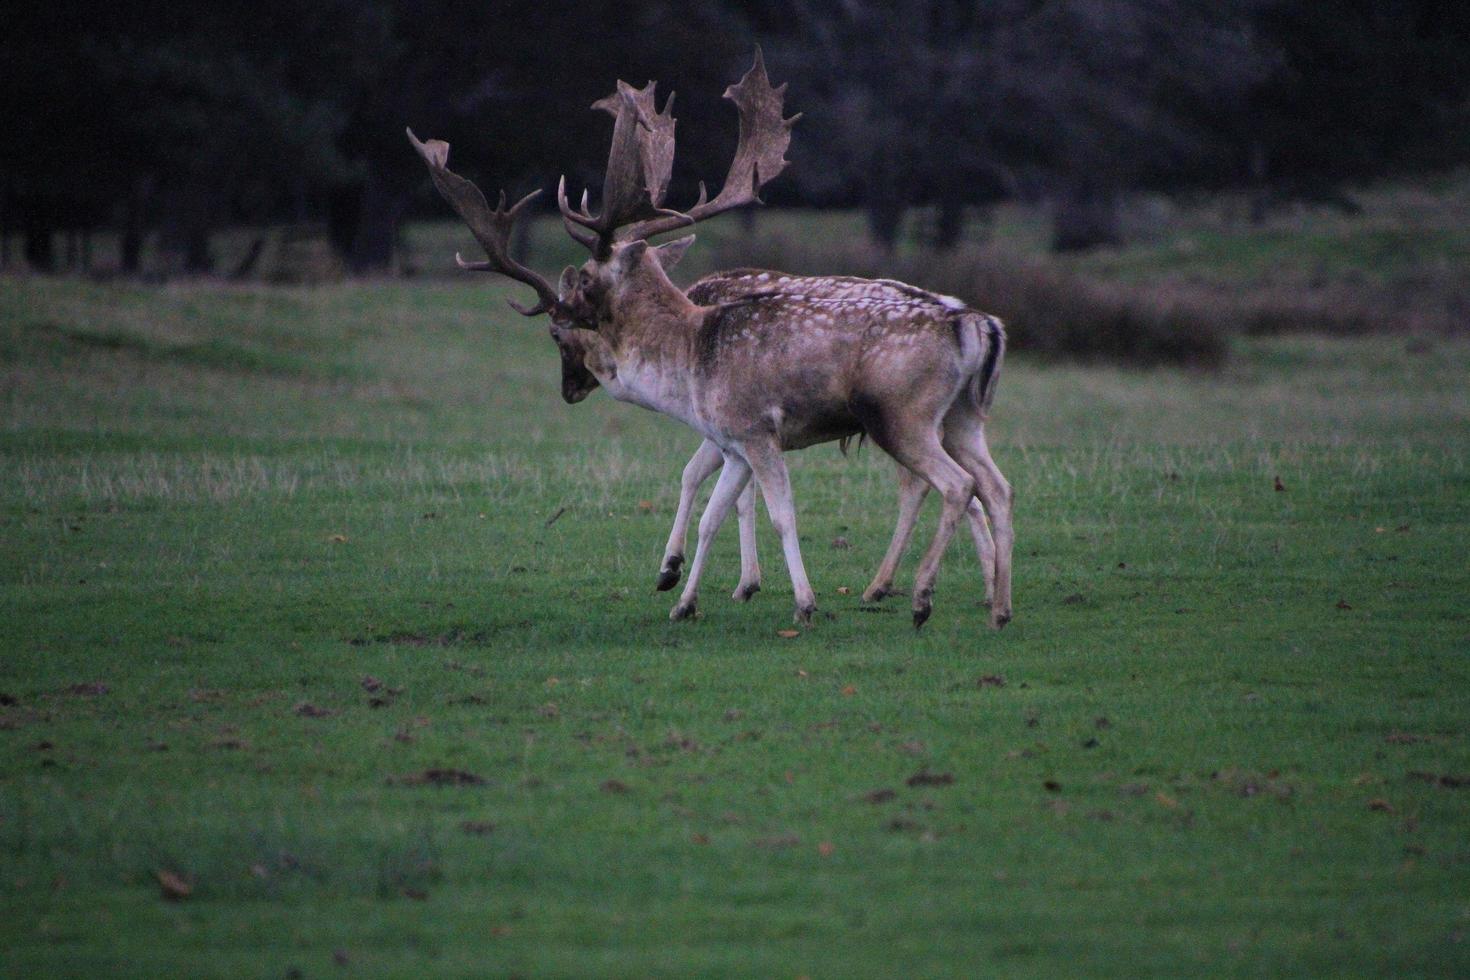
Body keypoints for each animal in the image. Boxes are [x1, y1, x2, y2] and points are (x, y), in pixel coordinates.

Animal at [408, 49, 1017, 628]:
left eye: (568, 311)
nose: (568, 387)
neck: (686, 361)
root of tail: (974, 324)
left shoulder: (753, 429)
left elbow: (776, 513)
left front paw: (798, 602)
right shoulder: (732, 443)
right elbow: (713, 513)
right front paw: (683, 597)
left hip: (902, 414)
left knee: (954, 486)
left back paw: (918, 599)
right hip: (961, 418)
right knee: (996, 486)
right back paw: (998, 607)